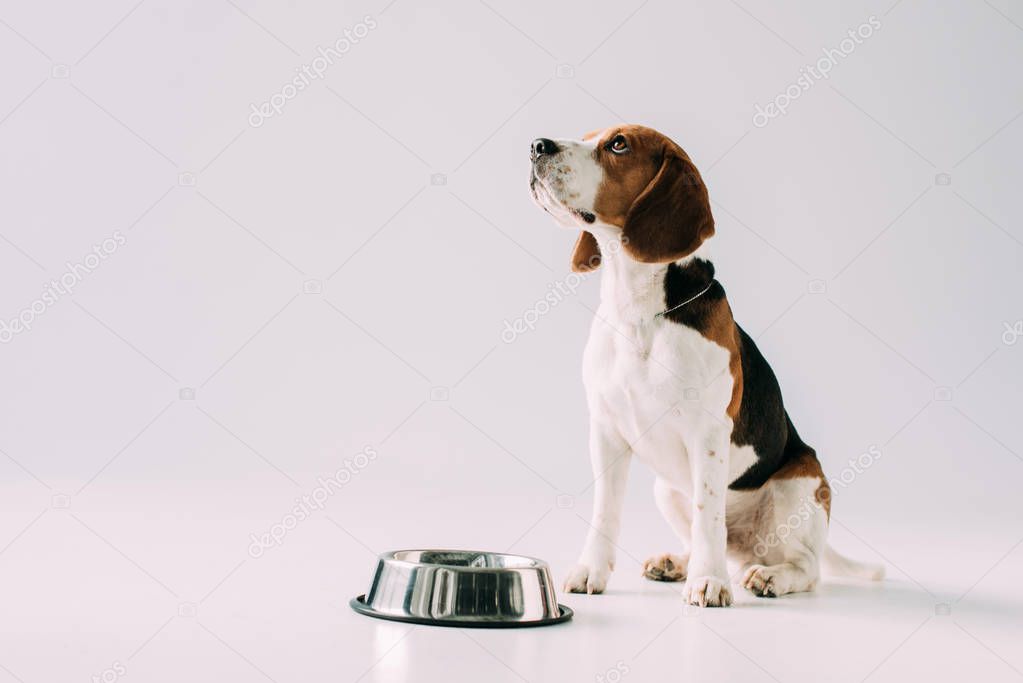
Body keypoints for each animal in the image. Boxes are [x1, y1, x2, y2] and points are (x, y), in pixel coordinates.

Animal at [527, 125, 879, 605]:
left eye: (618, 144)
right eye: (585, 135)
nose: (536, 146)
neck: (639, 309)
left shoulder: (708, 433)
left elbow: (708, 511)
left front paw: (710, 582)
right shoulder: (606, 430)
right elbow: (605, 511)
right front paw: (592, 570)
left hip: (799, 486)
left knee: (806, 568)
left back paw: (769, 577)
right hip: (666, 489)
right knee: (708, 540)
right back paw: (679, 563)